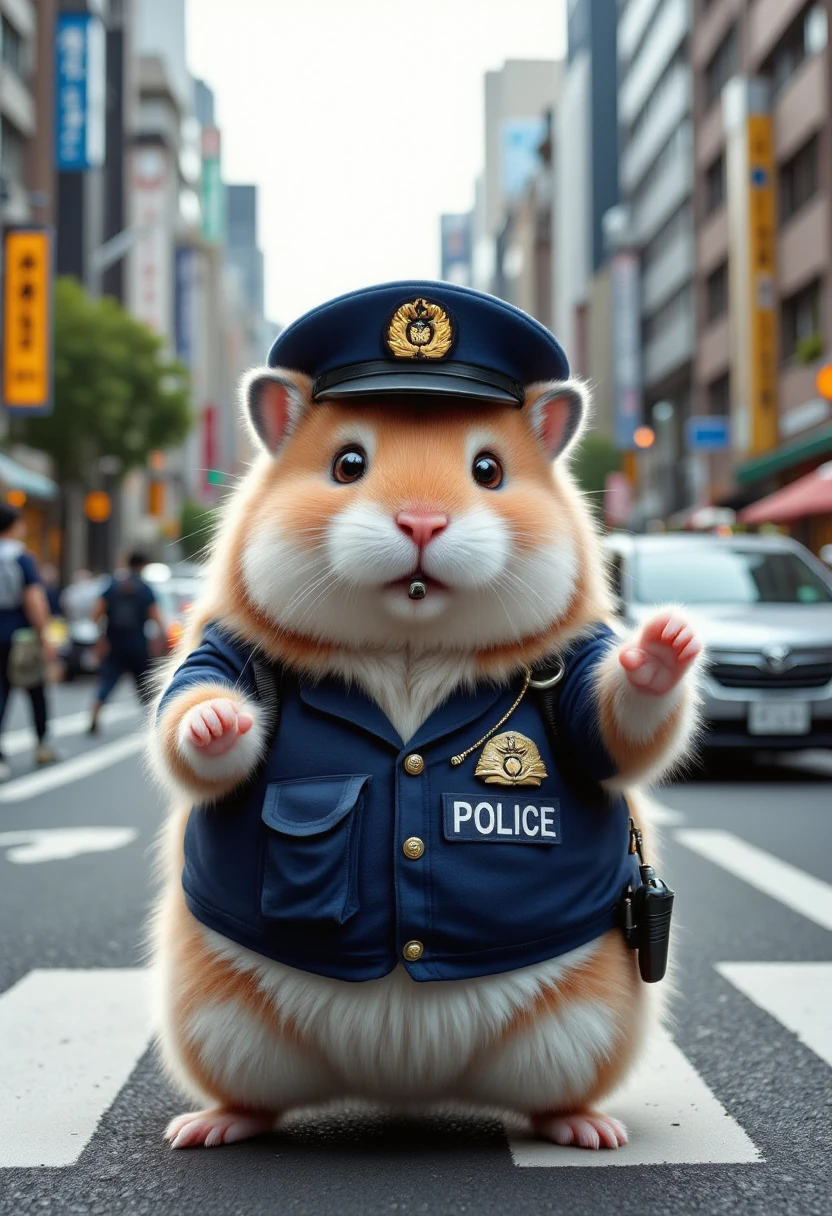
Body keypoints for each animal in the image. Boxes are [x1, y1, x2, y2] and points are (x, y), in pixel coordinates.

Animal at [149, 282, 700, 1147]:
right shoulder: (218, 652)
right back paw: (216, 1124)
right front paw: (220, 724)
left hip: (584, 1020)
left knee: (557, 1087)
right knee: (250, 1091)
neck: (408, 648)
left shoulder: (583, 680)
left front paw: (663, 647)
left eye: (489, 469)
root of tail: (402, 1084)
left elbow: (613, 729)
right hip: (217, 1018)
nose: (421, 522)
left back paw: (583, 1127)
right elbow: (192, 720)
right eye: (347, 464)